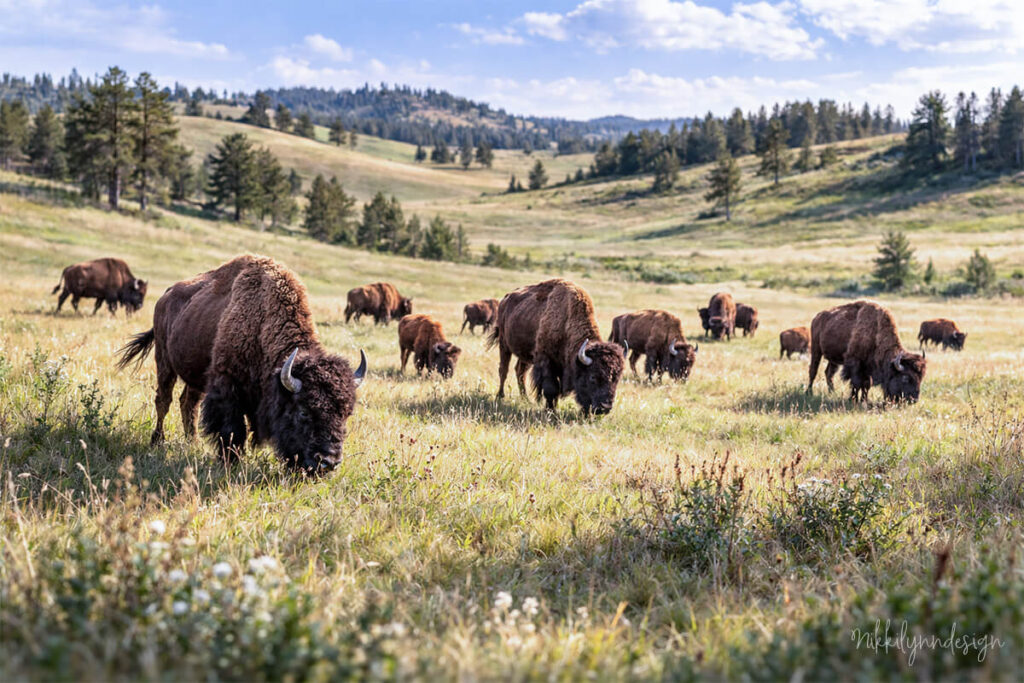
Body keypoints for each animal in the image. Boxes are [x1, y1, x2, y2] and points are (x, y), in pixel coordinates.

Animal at [118, 255, 367, 473]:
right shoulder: (228, 387)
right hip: (164, 361)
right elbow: (233, 431)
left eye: (346, 414)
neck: (263, 323)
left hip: (196, 375)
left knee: (188, 403)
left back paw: (192, 442)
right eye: (304, 412)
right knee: (164, 401)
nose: (328, 462)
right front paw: (230, 462)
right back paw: (157, 442)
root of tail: (166, 296)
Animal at [490, 279, 624, 415]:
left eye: (616, 379)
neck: (567, 321)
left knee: (520, 372)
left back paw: (525, 399)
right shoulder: (547, 361)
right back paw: (500, 396)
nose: (605, 407)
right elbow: (551, 388)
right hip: (504, 345)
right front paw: (550, 410)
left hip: (525, 355)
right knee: (503, 370)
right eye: (593, 377)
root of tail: (505, 299)